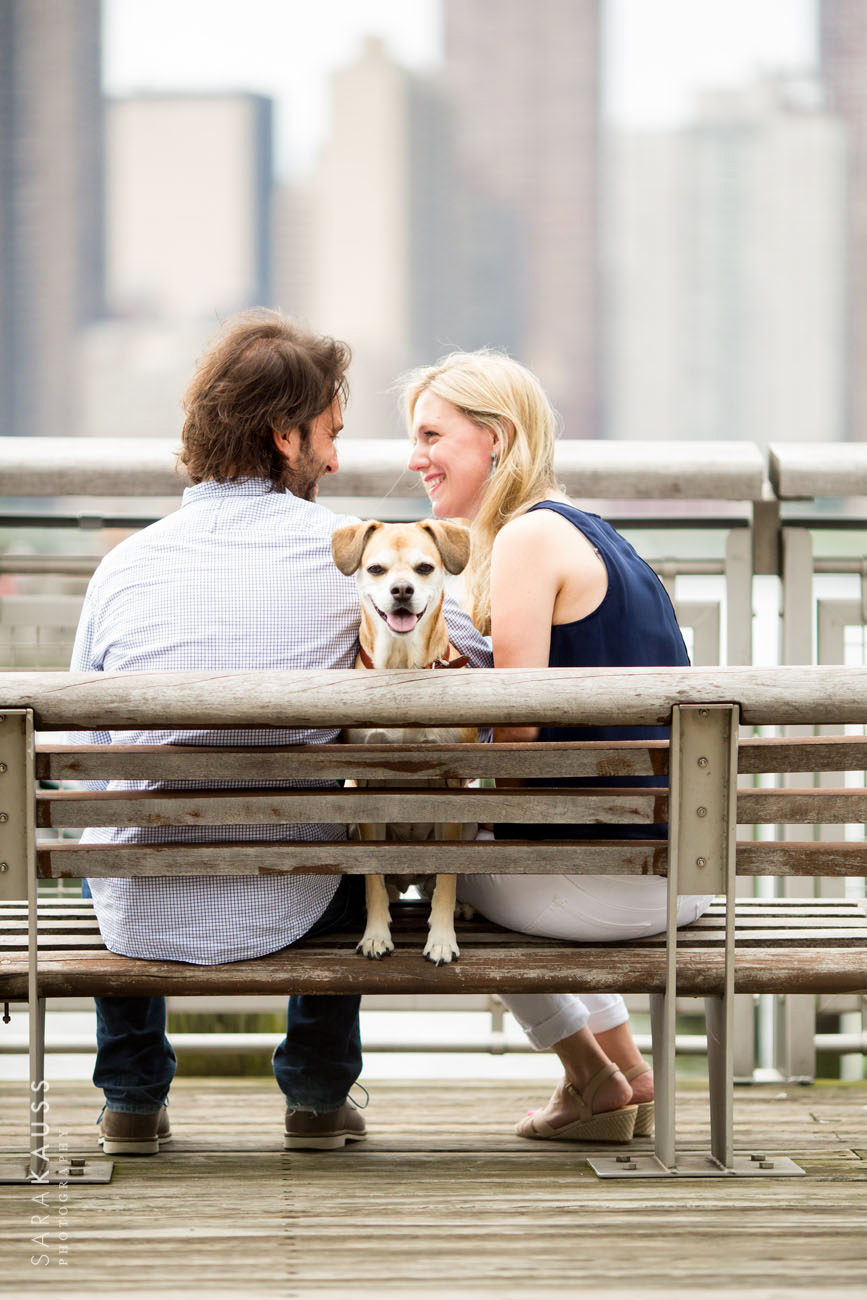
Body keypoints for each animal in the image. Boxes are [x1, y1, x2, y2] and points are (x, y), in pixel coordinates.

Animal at [332, 520, 478, 967]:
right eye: (376, 569)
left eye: (424, 568)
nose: (401, 590)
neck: (401, 672)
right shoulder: (365, 788)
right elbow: (373, 876)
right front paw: (375, 934)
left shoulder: (453, 787)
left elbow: (448, 877)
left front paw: (442, 938)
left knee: (436, 884)